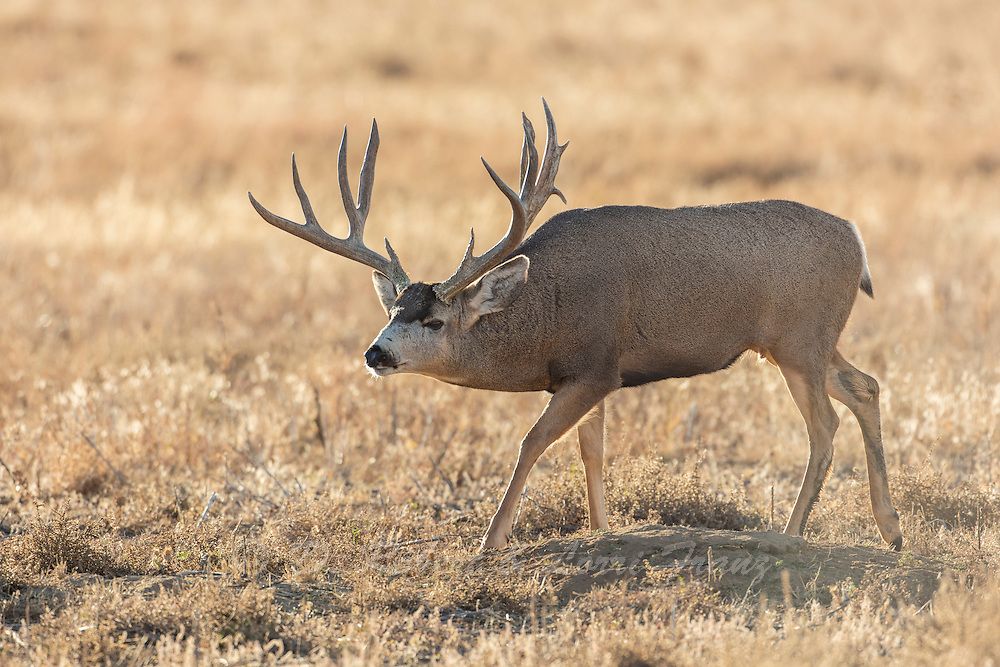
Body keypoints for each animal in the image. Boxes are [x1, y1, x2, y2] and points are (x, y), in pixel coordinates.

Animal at [248, 100, 903, 552]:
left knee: (825, 425)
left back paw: (790, 534)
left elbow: (533, 441)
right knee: (865, 387)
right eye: (391, 312)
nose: (376, 354)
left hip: (799, 339)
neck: (545, 313)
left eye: (432, 320)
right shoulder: (590, 375)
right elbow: (592, 450)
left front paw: (491, 541)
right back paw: (891, 529)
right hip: (804, 342)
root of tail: (856, 239)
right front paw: (600, 529)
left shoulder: (593, 367)